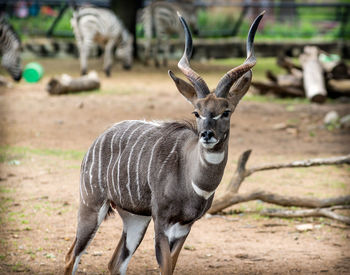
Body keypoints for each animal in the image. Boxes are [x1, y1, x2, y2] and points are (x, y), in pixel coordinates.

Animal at [64, 10, 264, 275]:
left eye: (226, 111)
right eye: (197, 112)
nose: (207, 135)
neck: (192, 179)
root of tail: (97, 141)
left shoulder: (185, 227)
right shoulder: (162, 221)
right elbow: (164, 266)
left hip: (135, 218)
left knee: (115, 262)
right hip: (91, 205)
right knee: (71, 256)